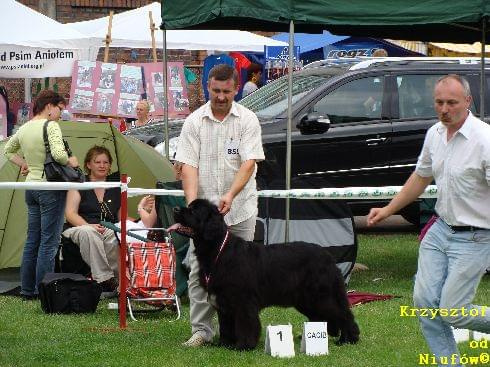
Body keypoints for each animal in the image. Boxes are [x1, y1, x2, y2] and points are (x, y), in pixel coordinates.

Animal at [172, 198, 360, 350]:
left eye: (194, 211)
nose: (175, 209)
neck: (217, 250)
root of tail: (329, 257)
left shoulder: (243, 301)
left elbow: (246, 324)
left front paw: (243, 346)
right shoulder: (223, 301)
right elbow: (226, 325)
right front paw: (225, 344)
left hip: (321, 296)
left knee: (343, 314)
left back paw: (348, 339)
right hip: (306, 300)